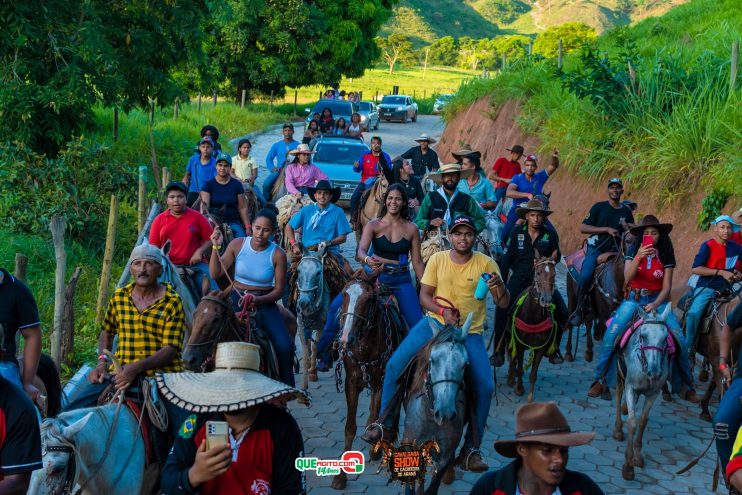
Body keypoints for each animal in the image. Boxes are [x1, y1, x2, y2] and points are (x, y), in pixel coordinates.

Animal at [294, 244, 332, 392]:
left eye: (318, 272)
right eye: (298, 270)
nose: (303, 303)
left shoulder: (321, 325)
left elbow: (315, 347)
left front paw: (313, 372)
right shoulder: (300, 325)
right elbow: (305, 351)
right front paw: (304, 386)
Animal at [332, 274, 406, 490]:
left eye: (368, 299)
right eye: (344, 294)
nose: (345, 339)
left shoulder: (381, 383)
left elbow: (375, 413)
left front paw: (375, 449)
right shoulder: (351, 384)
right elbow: (350, 428)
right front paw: (340, 477)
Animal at [398, 316, 474, 494]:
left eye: (465, 364)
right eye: (432, 360)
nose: (445, 413)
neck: (430, 418)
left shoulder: (444, 455)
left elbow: (432, 487)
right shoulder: (412, 447)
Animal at [508, 252, 560, 404]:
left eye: (554, 274)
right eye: (538, 272)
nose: (546, 300)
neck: (534, 317)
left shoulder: (540, 348)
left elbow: (533, 373)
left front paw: (530, 396)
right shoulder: (519, 345)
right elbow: (519, 365)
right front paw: (519, 389)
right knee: (512, 357)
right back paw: (511, 378)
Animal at [612, 304, 676, 482]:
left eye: (665, 338)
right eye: (642, 335)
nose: (654, 372)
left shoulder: (653, 393)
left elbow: (643, 421)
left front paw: (638, 457)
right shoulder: (630, 387)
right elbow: (632, 422)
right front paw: (628, 466)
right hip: (619, 375)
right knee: (618, 395)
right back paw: (618, 429)